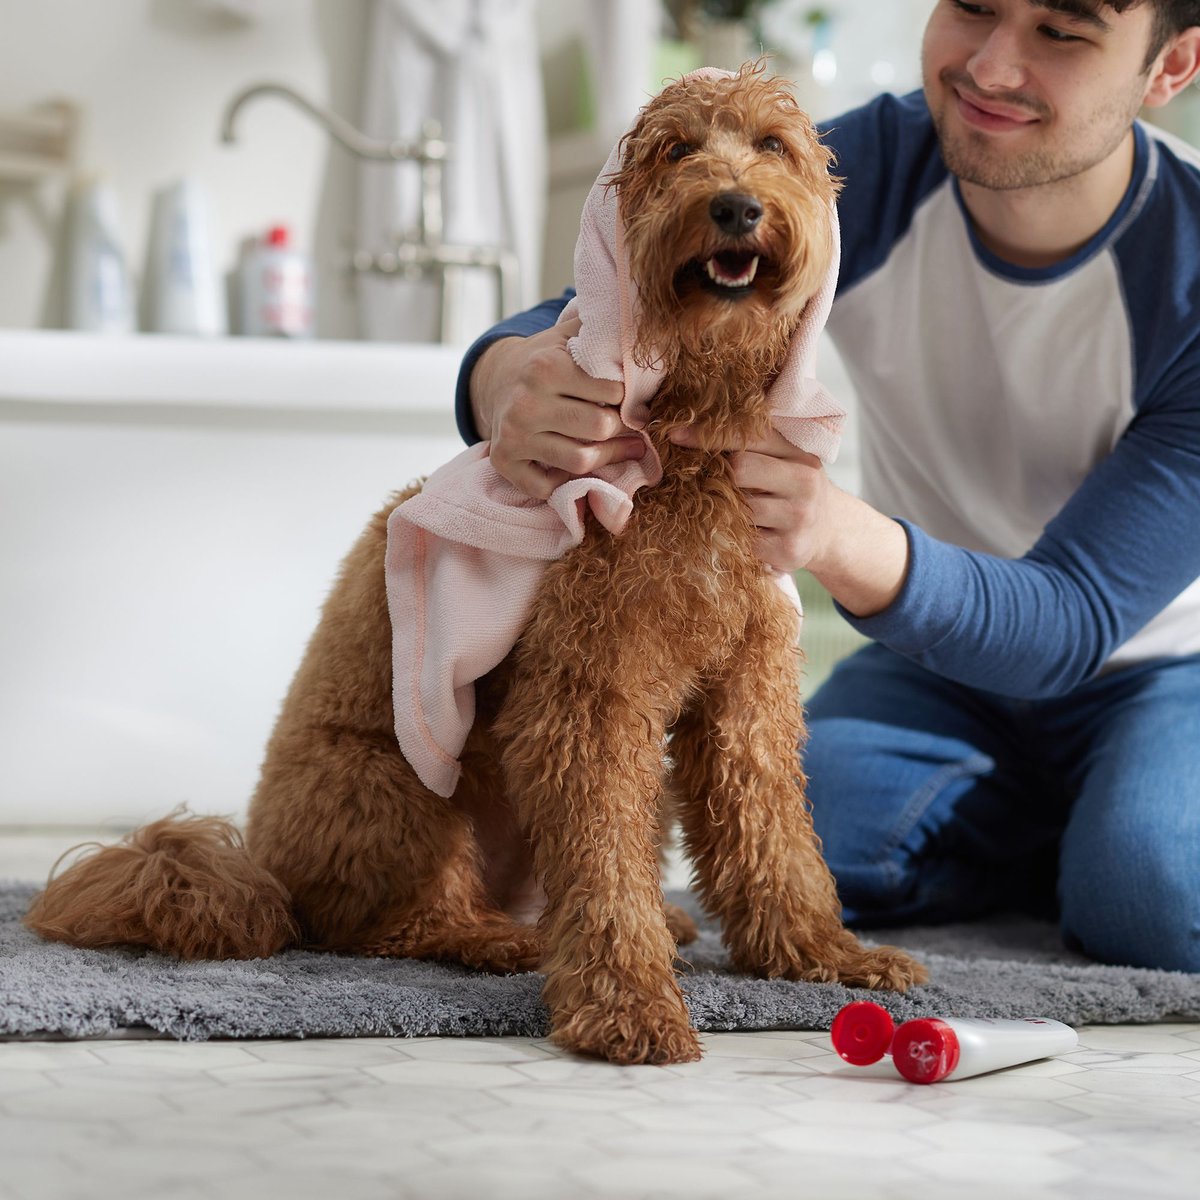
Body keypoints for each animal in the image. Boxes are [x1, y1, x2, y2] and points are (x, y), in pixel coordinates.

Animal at [25, 65, 926, 1065]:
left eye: (773, 146)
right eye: (675, 151)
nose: (734, 205)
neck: (685, 446)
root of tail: (261, 871)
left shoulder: (746, 698)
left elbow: (775, 838)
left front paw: (823, 953)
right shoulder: (588, 702)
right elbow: (604, 867)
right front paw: (626, 1001)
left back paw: (651, 923)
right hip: (401, 790)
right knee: (399, 924)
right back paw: (504, 940)